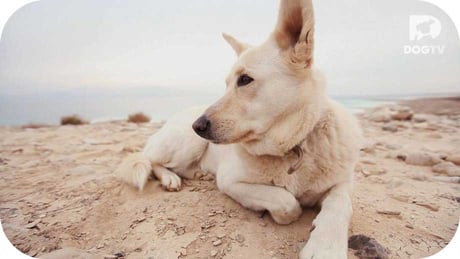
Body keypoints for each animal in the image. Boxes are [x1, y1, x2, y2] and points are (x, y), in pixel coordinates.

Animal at [114, 1, 360, 258]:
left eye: (244, 80)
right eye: (226, 84)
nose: (198, 126)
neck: (293, 147)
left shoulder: (344, 183)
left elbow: (340, 203)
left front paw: (325, 245)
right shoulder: (230, 182)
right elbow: (287, 203)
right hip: (187, 143)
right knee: (152, 161)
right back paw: (170, 178)